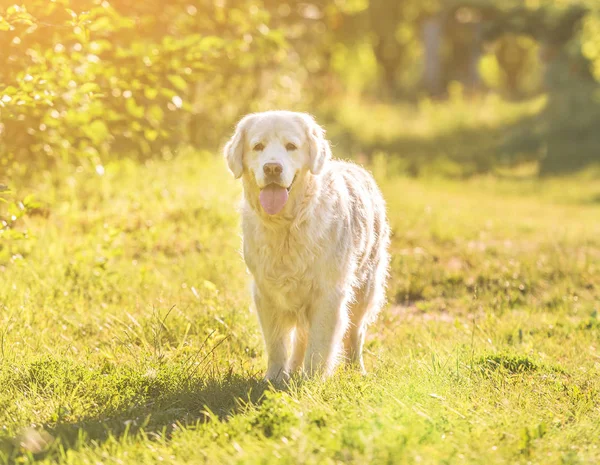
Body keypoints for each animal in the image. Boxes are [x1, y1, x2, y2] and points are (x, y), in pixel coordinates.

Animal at [224, 110, 390, 378]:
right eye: (258, 146)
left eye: (291, 146)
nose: (272, 168)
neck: (286, 226)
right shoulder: (266, 294)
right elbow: (277, 344)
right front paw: (275, 378)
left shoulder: (329, 295)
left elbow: (319, 346)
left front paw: (311, 381)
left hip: (365, 289)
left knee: (355, 334)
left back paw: (357, 370)